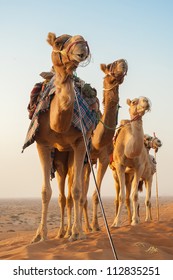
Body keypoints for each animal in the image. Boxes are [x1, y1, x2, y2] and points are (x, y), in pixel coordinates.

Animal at [25, 32, 94, 243]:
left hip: (71, 154)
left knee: (71, 194)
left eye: (83, 40)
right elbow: (45, 192)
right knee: (64, 197)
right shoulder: (42, 143)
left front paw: (77, 232)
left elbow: (77, 191)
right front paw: (40, 235)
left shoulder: (80, 143)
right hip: (60, 159)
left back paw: (72, 230)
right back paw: (62, 232)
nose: (82, 48)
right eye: (58, 42)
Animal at [54, 58, 128, 236]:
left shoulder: (102, 158)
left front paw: (94, 226)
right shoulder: (84, 158)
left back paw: (85, 226)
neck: (96, 138)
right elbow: (79, 194)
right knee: (67, 194)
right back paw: (64, 231)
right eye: (109, 67)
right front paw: (76, 229)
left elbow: (94, 195)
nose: (123, 62)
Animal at [111, 97, 151, 226]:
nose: (146, 100)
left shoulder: (139, 167)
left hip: (132, 175)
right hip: (115, 174)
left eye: (145, 99)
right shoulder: (120, 166)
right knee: (118, 196)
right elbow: (122, 196)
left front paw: (135, 220)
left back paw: (133, 219)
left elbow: (135, 195)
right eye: (134, 102)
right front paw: (117, 223)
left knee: (132, 195)